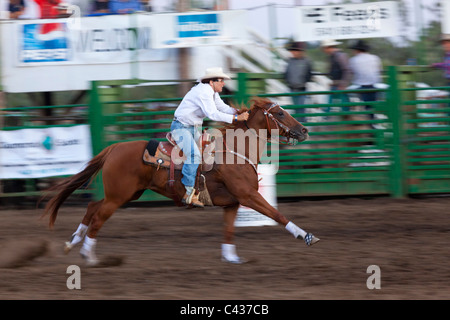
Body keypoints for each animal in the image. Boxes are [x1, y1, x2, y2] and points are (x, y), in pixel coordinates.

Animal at [44, 97, 320, 264]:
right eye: (281, 113)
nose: (304, 130)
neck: (235, 151)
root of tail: (114, 148)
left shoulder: (232, 203)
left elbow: (229, 230)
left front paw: (231, 258)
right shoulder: (248, 196)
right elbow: (277, 214)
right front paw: (306, 236)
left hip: (126, 194)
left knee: (93, 207)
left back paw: (73, 242)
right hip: (119, 196)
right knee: (99, 216)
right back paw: (88, 255)